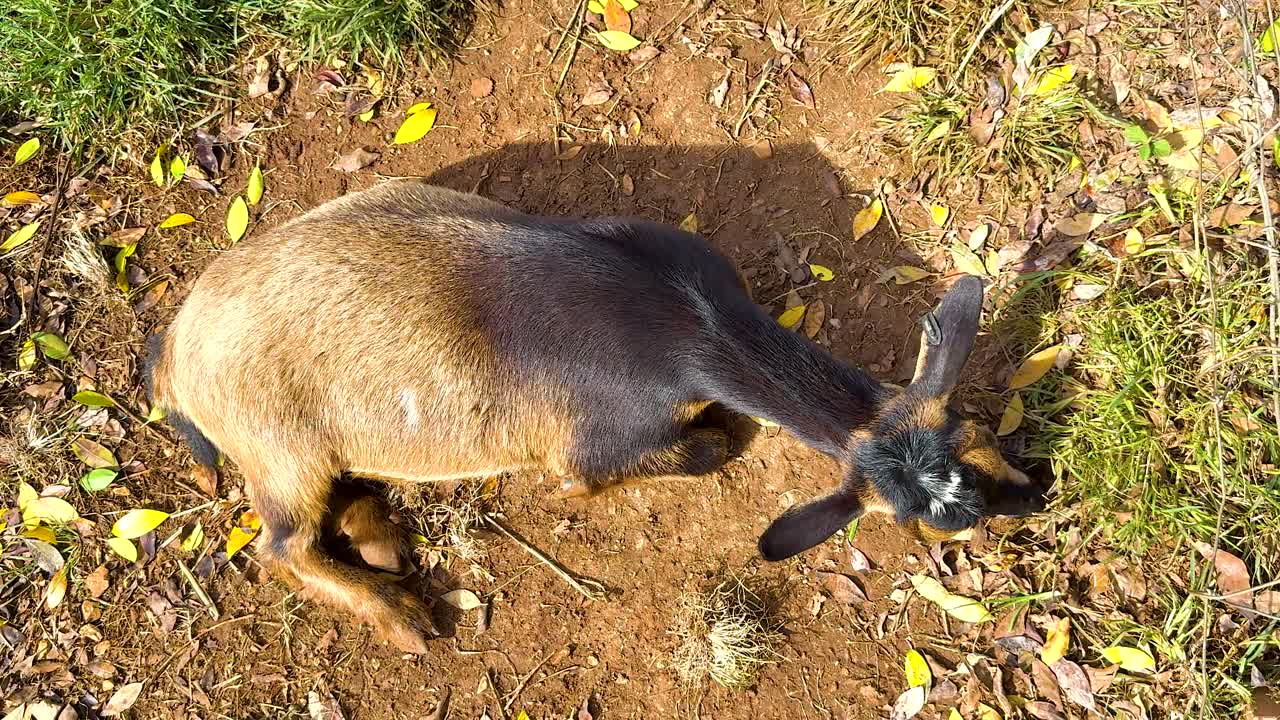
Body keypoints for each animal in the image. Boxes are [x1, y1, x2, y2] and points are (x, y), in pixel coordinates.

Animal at [146, 179, 1043, 652]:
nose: (1034, 498)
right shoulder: (591, 449)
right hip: (276, 442)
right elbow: (707, 446)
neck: (687, 325)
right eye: (931, 530)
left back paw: (378, 536)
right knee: (281, 544)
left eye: (982, 442)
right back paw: (399, 613)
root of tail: (175, 351)